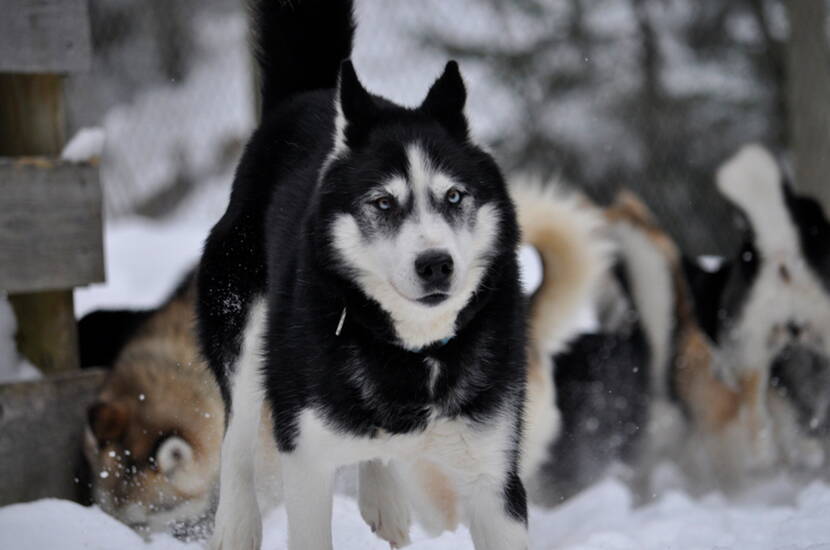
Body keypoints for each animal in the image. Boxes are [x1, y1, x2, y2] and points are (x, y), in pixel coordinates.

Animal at [198, 2, 528, 548]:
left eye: (453, 196)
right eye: (383, 202)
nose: (436, 264)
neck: (415, 353)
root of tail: (308, 95)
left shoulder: (494, 476)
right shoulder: (306, 456)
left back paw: (383, 498)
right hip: (243, 331)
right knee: (235, 436)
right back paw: (235, 525)